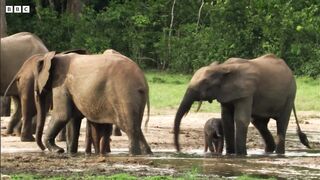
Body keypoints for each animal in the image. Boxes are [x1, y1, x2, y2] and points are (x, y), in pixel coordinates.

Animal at [174, 53, 312, 155]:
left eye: (204, 83)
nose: (179, 150)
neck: (223, 67)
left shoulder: (246, 92)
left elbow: (240, 119)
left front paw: (240, 155)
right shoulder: (226, 93)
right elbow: (227, 120)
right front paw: (230, 154)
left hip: (290, 95)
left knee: (281, 123)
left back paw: (279, 154)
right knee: (259, 123)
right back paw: (268, 152)